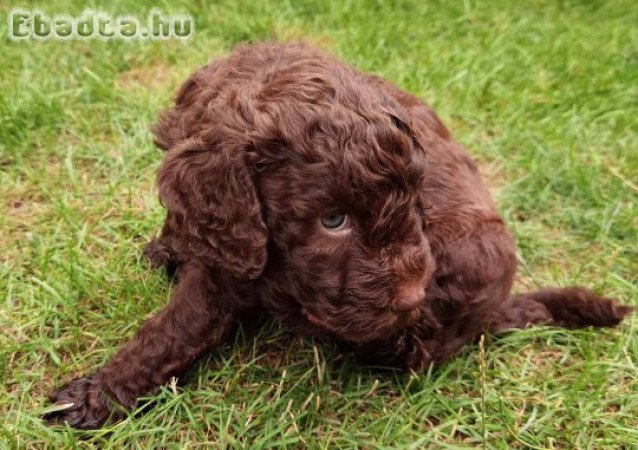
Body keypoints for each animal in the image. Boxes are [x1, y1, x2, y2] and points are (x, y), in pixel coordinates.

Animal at [45, 42, 636, 428]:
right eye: (333, 220)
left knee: (430, 348)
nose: (411, 297)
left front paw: (98, 392)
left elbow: (175, 325)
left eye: (415, 197)